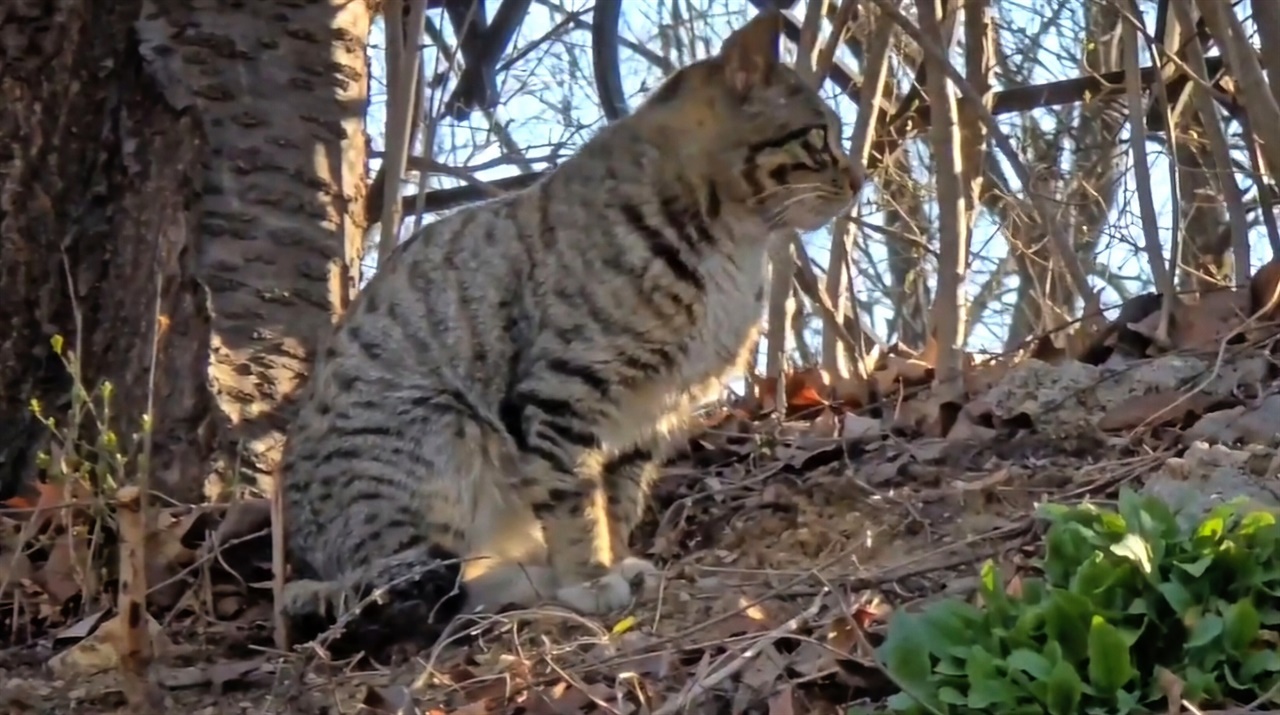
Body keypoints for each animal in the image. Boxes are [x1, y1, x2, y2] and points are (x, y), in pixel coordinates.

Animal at [279, 6, 860, 654]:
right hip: (432, 435)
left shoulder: (647, 413)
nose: (861, 178)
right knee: (416, 592)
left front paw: (616, 559)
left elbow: (618, 500)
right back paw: (528, 579)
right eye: (820, 137)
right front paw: (588, 578)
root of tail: (309, 560)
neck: (735, 246)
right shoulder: (563, 392)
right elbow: (573, 501)